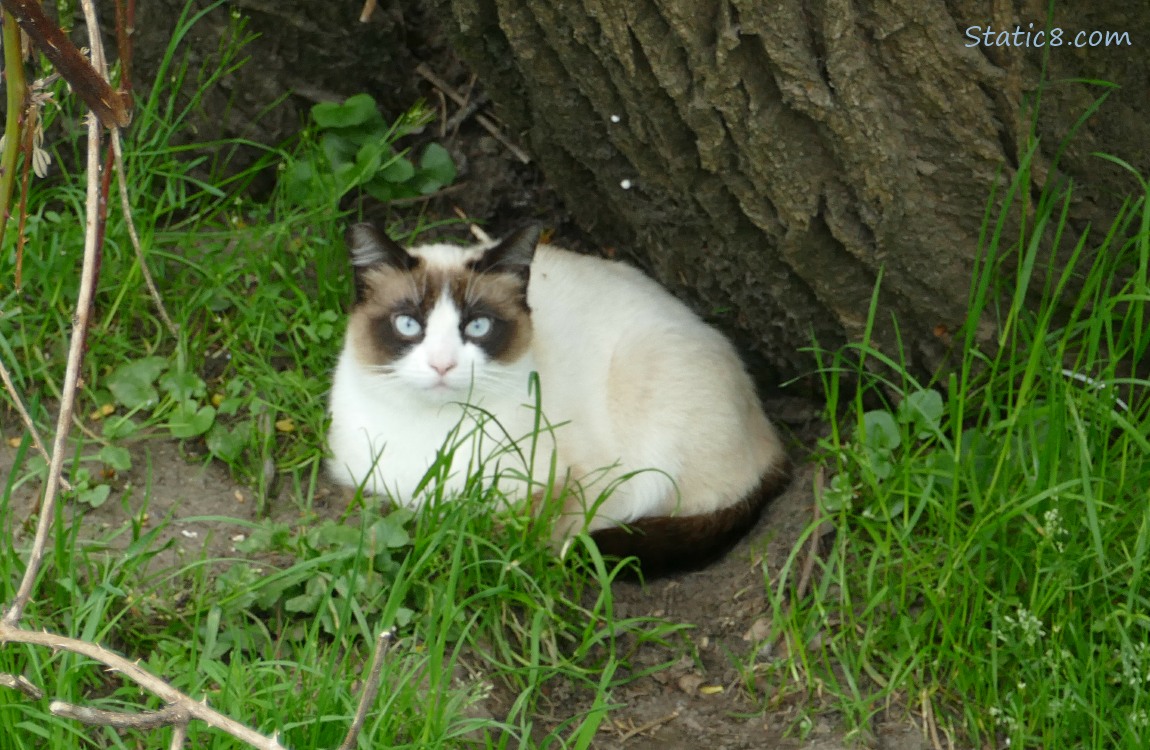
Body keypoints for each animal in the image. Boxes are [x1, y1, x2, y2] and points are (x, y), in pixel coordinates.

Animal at [326, 223, 791, 575]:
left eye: (478, 326)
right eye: (408, 324)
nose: (443, 365)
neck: (433, 436)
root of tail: (770, 434)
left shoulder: (571, 482)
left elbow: (500, 531)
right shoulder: (365, 481)